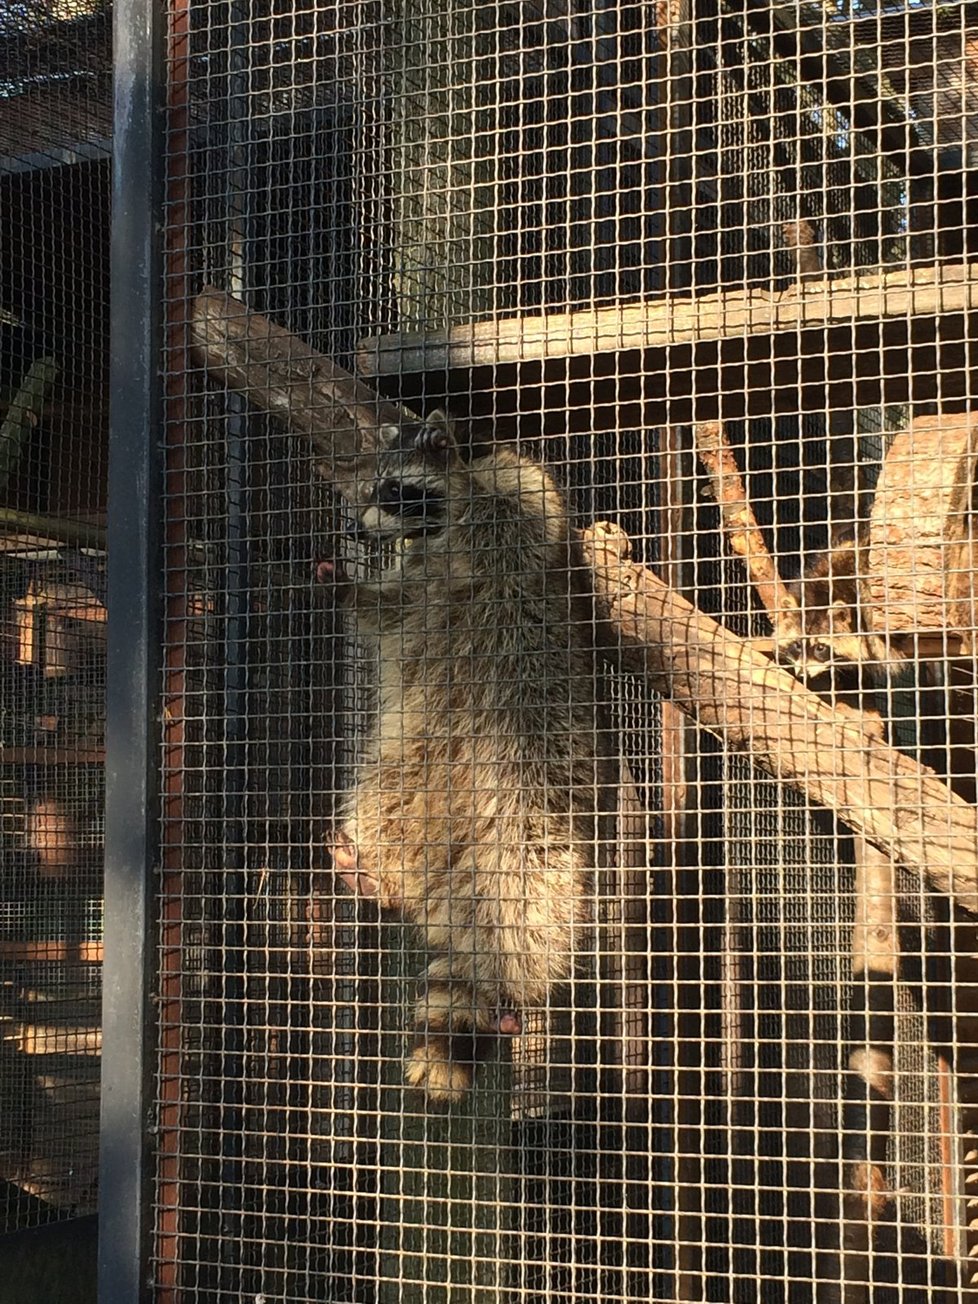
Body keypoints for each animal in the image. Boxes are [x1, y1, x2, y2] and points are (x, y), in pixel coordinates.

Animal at [326, 412, 612, 1105]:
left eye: (395, 491)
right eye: (368, 490)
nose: (355, 530)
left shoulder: (520, 511)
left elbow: (516, 515)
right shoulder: (409, 595)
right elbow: (385, 611)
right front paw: (349, 581)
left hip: (533, 769)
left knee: (529, 877)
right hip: (408, 766)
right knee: (383, 801)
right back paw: (375, 876)